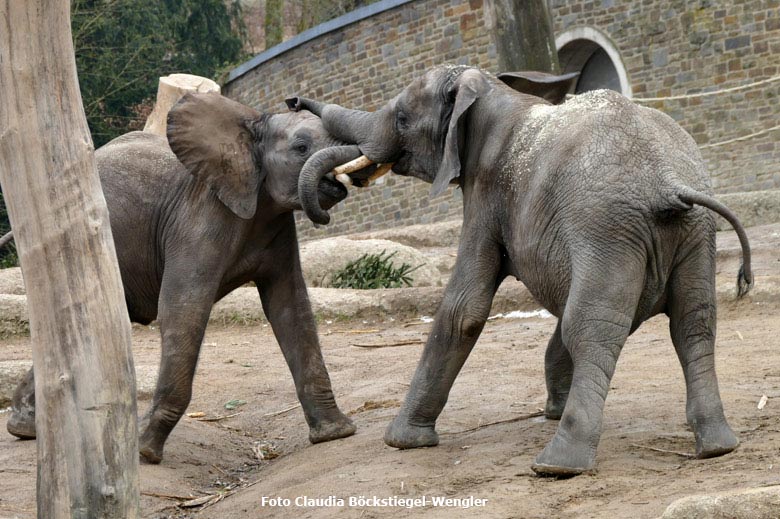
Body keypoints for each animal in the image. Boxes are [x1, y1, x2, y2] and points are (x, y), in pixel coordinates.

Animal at [6, 91, 370, 466]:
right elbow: (183, 309)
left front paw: (335, 433)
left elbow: (290, 308)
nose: (296, 99)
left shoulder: (276, 227)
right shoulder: (199, 216)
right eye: (301, 147)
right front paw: (144, 451)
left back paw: (25, 428)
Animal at [290, 66, 752, 480]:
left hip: (607, 228)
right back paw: (717, 446)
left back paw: (558, 465)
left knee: (591, 327)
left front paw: (401, 442)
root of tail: (667, 182)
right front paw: (552, 410)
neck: (491, 91)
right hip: (694, 235)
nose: (292, 101)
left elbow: (465, 307)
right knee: (694, 324)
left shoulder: (485, 193)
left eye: (403, 119)